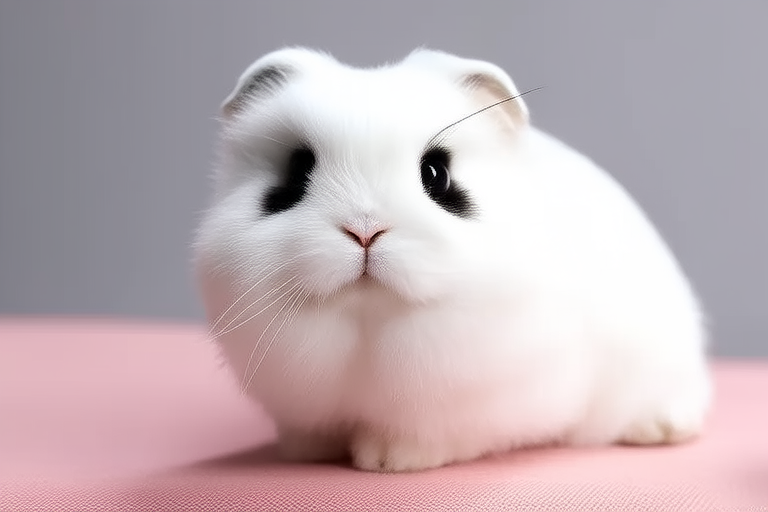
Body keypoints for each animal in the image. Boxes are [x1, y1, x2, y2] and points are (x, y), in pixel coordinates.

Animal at [194, 47, 711, 472]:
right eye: (297, 171)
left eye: (436, 174)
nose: (365, 229)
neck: (368, 323)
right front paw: (308, 453)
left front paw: (389, 460)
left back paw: (659, 428)